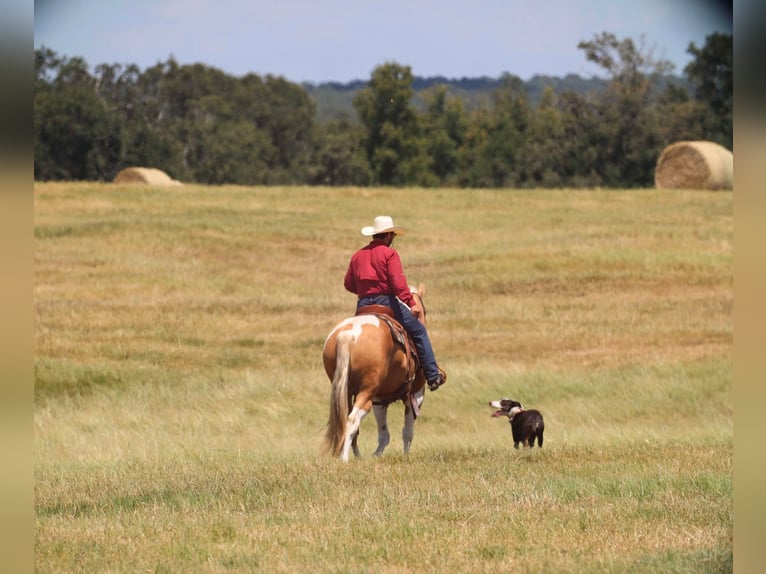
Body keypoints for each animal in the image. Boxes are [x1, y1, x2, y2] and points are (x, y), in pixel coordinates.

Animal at [320, 284, 438, 464]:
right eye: (423, 311)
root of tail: (348, 335)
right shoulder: (416, 393)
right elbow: (407, 431)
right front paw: (406, 455)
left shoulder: (380, 399)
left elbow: (384, 433)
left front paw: (377, 454)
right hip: (366, 392)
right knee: (352, 420)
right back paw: (345, 458)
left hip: (346, 391)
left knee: (345, 421)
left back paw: (355, 455)